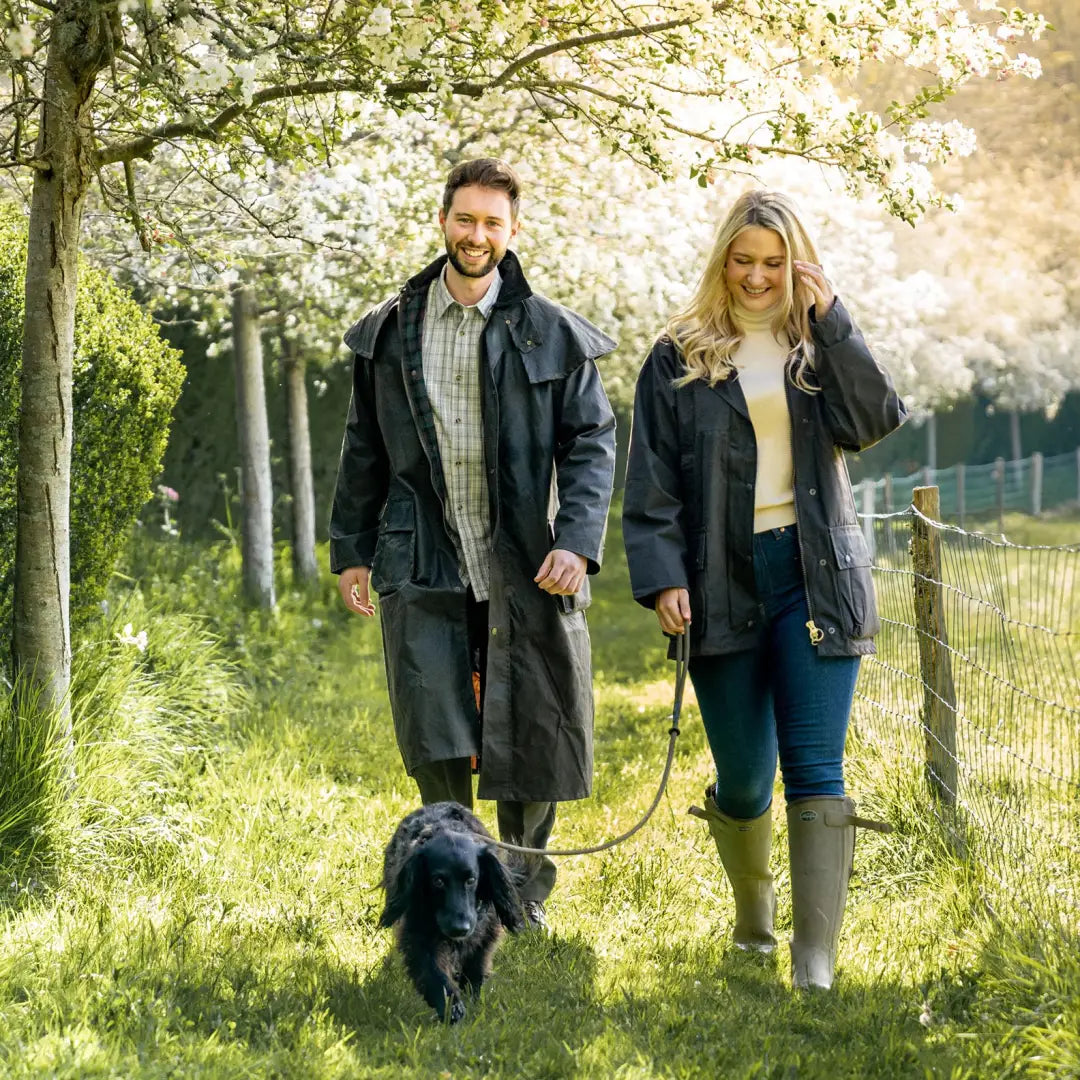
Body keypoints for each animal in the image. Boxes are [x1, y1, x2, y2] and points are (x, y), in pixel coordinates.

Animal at [380, 803, 527, 1019]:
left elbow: (476, 967)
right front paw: (452, 1008)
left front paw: (472, 999)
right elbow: (433, 973)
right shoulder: (418, 934)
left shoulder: (485, 933)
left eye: (471, 880)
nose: (460, 929)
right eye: (438, 881)